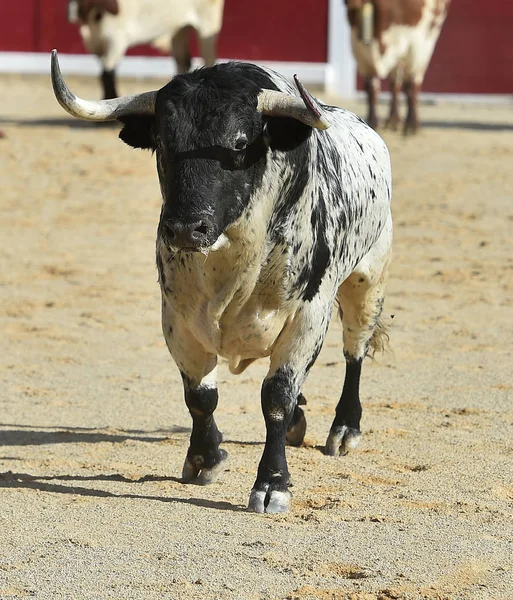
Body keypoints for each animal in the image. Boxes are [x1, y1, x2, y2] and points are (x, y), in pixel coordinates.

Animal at [49, 49, 392, 512]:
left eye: (240, 144)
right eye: (163, 143)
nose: (184, 229)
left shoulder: (308, 315)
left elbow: (276, 398)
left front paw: (272, 484)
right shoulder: (177, 317)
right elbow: (200, 396)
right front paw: (204, 459)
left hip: (367, 279)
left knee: (355, 349)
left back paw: (344, 430)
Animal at [67, 0, 223, 98]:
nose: (72, 14)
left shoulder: (116, 39)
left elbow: (107, 72)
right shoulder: (97, 43)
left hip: (207, 24)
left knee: (208, 57)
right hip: (179, 28)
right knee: (182, 59)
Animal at [346, 0, 450, 134]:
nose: (350, 3)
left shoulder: (413, 46)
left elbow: (409, 85)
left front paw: (411, 125)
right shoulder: (360, 51)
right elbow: (371, 88)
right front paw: (373, 122)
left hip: (428, 39)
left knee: (412, 83)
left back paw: (411, 123)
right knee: (394, 85)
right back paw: (393, 120)